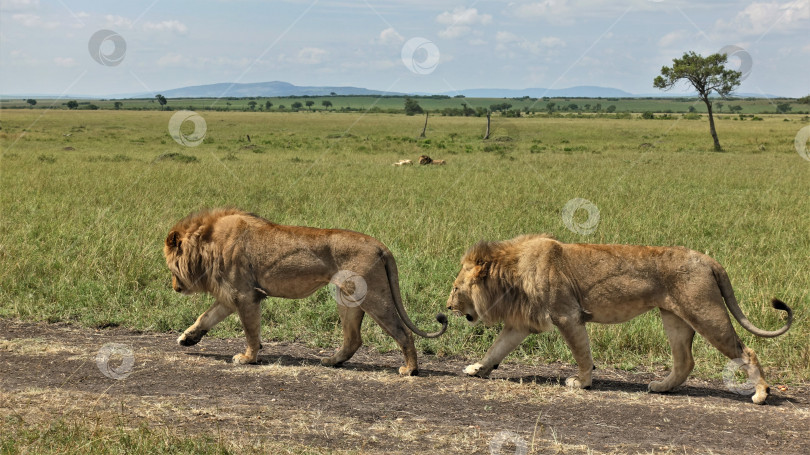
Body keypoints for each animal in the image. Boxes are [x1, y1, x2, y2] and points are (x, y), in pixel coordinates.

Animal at [161, 208, 446, 376]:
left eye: (170, 267)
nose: (175, 288)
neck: (207, 244)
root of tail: (380, 245)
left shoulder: (246, 295)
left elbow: (251, 331)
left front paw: (248, 358)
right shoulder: (231, 296)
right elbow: (205, 317)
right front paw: (187, 339)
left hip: (374, 296)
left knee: (403, 332)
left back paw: (409, 370)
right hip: (347, 298)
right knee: (354, 339)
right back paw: (332, 361)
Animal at [442, 233, 788, 404]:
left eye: (456, 288)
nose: (446, 307)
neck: (510, 274)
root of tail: (709, 260)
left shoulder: (568, 315)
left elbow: (582, 353)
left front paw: (581, 383)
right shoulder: (521, 323)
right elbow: (496, 349)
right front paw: (477, 368)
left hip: (705, 314)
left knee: (746, 352)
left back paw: (760, 394)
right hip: (674, 319)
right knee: (685, 361)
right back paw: (662, 387)